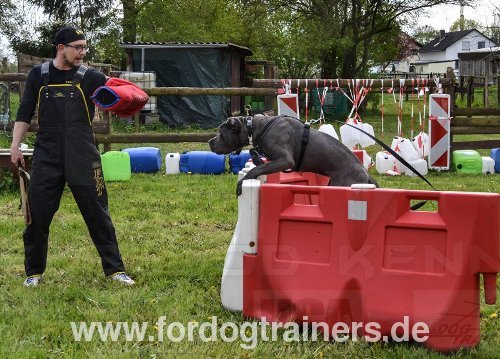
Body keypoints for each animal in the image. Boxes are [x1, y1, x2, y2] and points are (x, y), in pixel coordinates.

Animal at [208, 115, 378, 195]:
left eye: (221, 133)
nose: (210, 141)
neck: (256, 127)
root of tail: (365, 173)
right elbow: (256, 158)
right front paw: (256, 158)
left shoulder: (285, 160)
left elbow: (254, 170)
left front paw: (241, 182)